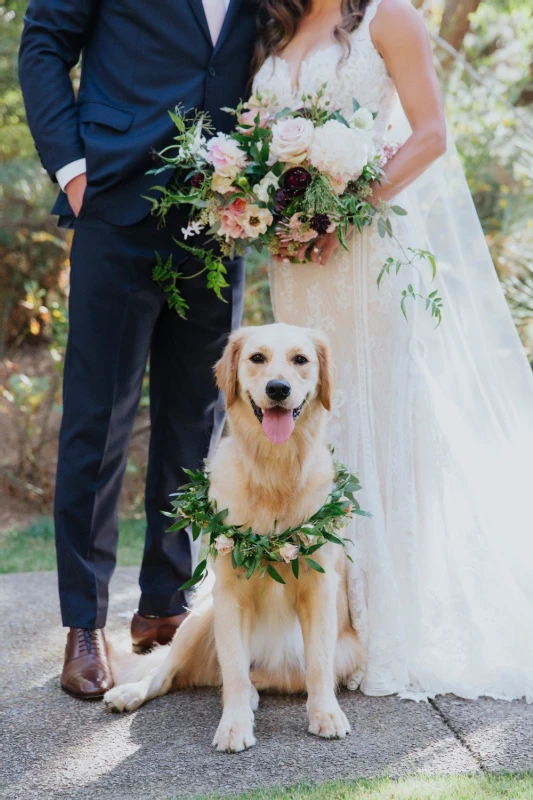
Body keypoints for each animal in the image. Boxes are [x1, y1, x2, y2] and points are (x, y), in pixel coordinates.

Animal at [103, 322, 362, 752]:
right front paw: (234, 726)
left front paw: (326, 714)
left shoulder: (319, 589)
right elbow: (235, 671)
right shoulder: (229, 593)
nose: (278, 388)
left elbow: (319, 664)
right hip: (198, 618)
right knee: (169, 673)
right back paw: (130, 693)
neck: (274, 471)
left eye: (300, 359)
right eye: (257, 358)